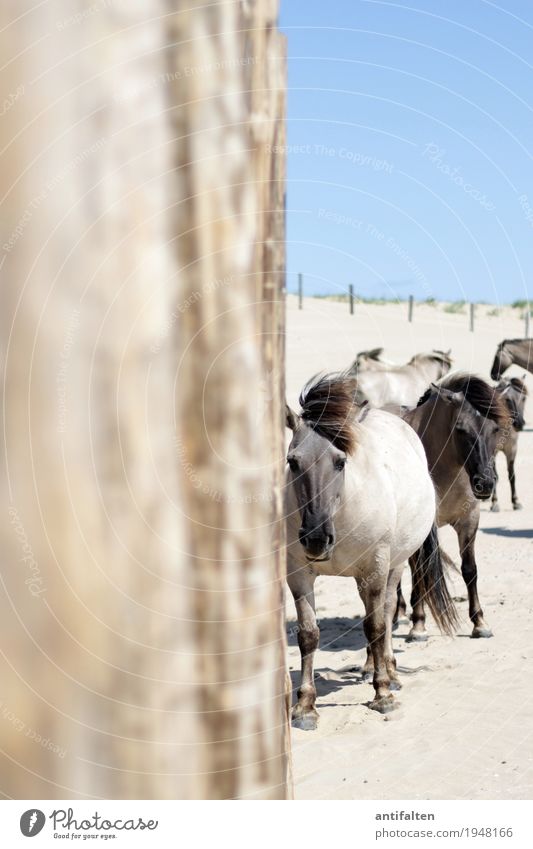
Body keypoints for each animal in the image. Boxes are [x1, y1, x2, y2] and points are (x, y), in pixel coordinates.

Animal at [284, 372, 456, 728]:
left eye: (340, 462)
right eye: (292, 462)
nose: (316, 537)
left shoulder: (375, 568)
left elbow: (377, 626)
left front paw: (383, 693)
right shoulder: (298, 574)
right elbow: (308, 634)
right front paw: (305, 706)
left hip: (394, 564)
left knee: (386, 611)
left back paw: (389, 671)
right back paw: (368, 669)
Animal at [392, 374, 510, 640]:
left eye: (495, 428)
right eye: (461, 429)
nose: (485, 483)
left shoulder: (469, 521)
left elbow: (470, 569)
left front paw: (480, 622)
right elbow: (420, 572)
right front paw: (418, 625)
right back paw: (399, 613)